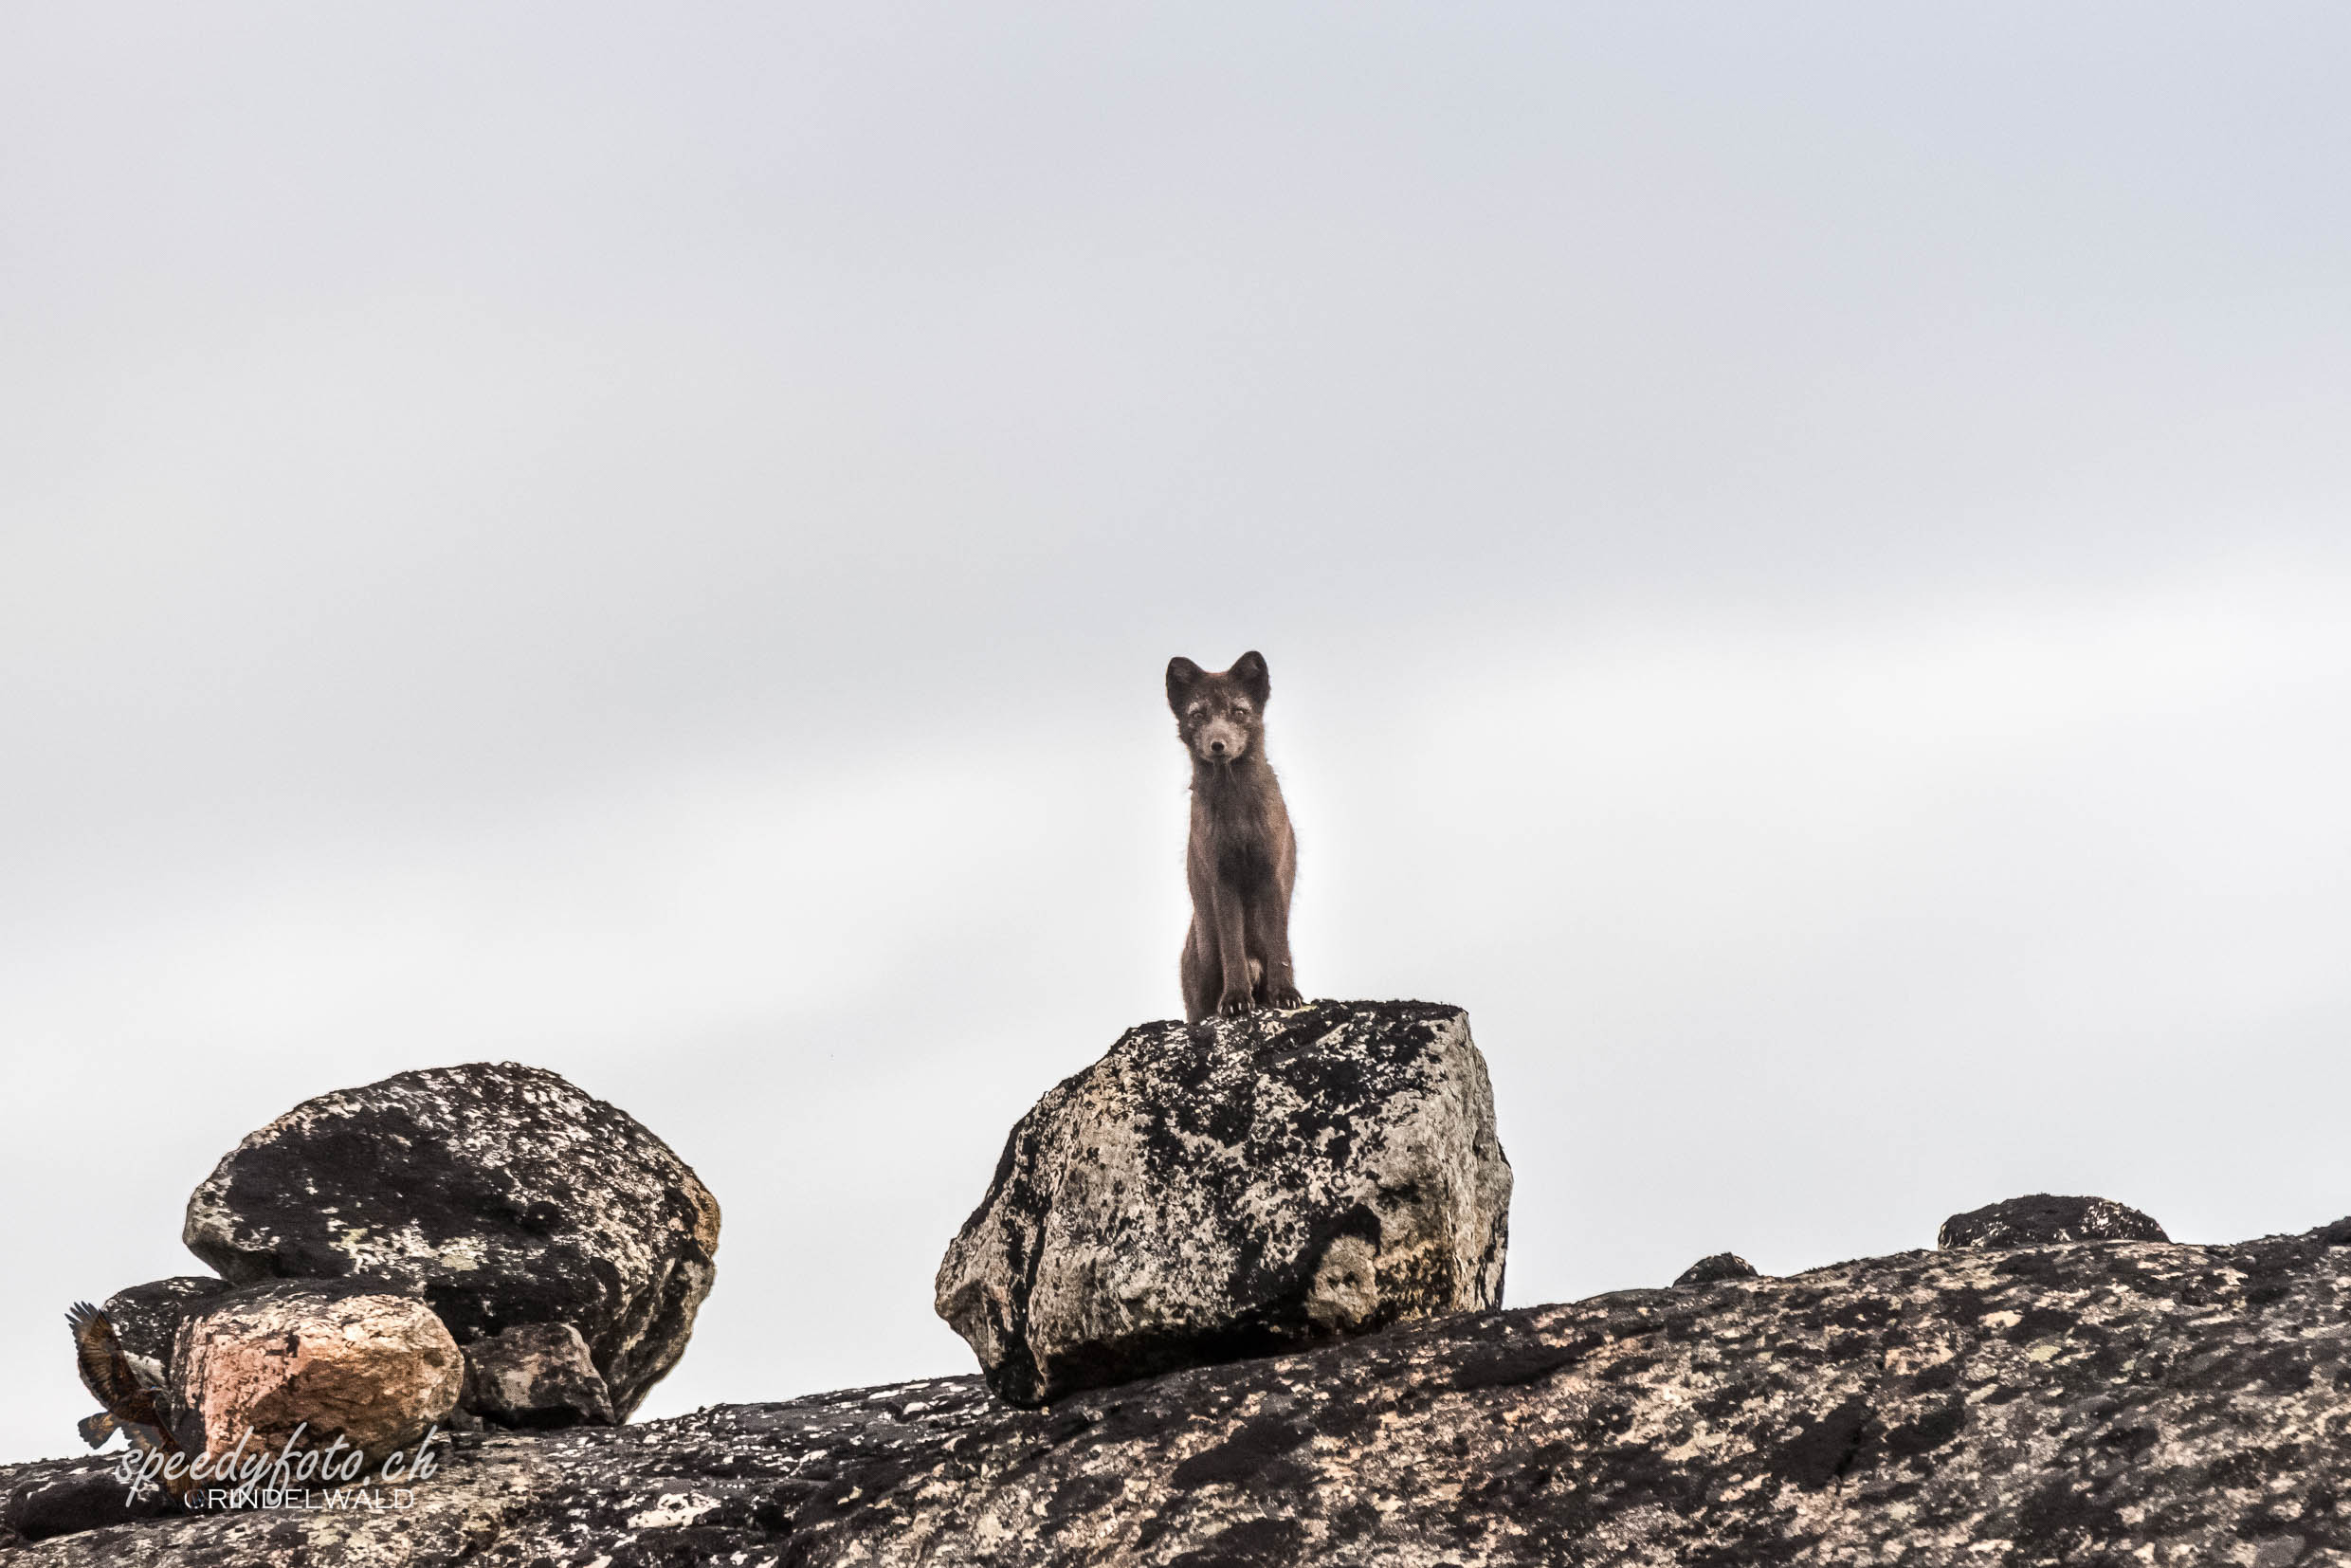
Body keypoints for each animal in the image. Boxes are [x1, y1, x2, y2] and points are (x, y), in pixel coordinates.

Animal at [1171, 644, 1306, 1025]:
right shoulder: (1221, 878)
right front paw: (1235, 1000)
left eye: (1239, 711)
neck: (1238, 820)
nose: (1218, 745)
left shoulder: (1271, 873)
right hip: (1199, 981)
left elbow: (1279, 947)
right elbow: (1232, 946)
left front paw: (1286, 995)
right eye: (1198, 715)